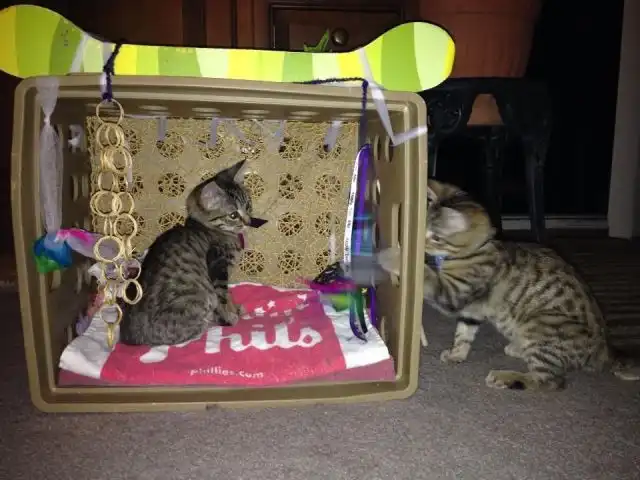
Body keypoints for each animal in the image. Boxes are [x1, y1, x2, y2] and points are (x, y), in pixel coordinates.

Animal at [119, 159, 253, 346]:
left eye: (248, 205)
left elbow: (229, 295)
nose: (248, 221)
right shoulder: (218, 267)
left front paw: (235, 308)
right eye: (233, 215)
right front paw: (230, 315)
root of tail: (130, 338)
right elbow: (223, 296)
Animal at [377, 178, 639, 391]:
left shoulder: (452, 293)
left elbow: (427, 276)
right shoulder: (472, 311)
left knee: (551, 382)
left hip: (542, 323)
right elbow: (464, 334)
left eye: (437, 237)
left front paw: (393, 256)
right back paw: (516, 348)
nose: (421, 242)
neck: (478, 248)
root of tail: (605, 350)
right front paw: (456, 354)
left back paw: (506, 377)